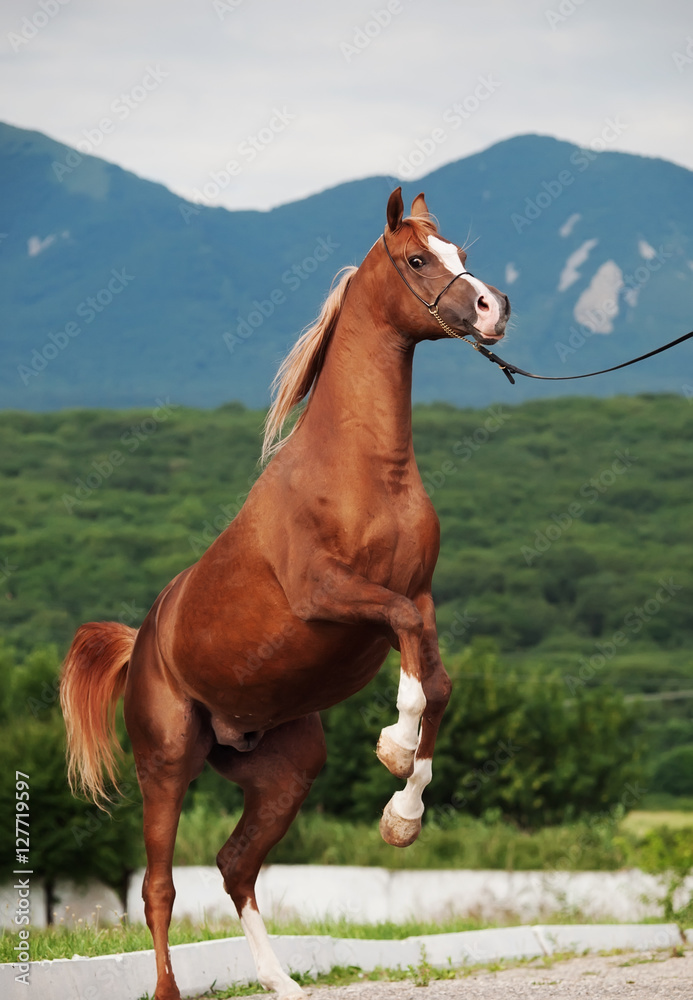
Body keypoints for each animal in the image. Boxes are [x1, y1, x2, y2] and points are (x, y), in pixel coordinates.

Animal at [59, 189, 508, 1000]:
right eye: (417, 259)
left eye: (459, 250)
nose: (495, 308)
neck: (365, 471)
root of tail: (142, 646)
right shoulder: (329, 596)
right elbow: (410, 657)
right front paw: (395, 747)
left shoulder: (419, 598)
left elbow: (438, 681)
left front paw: (402, 811)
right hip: (165, 763)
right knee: (159, 887)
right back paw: (170, 989)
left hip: (281, 773)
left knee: (235, 866)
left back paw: (281, 981)